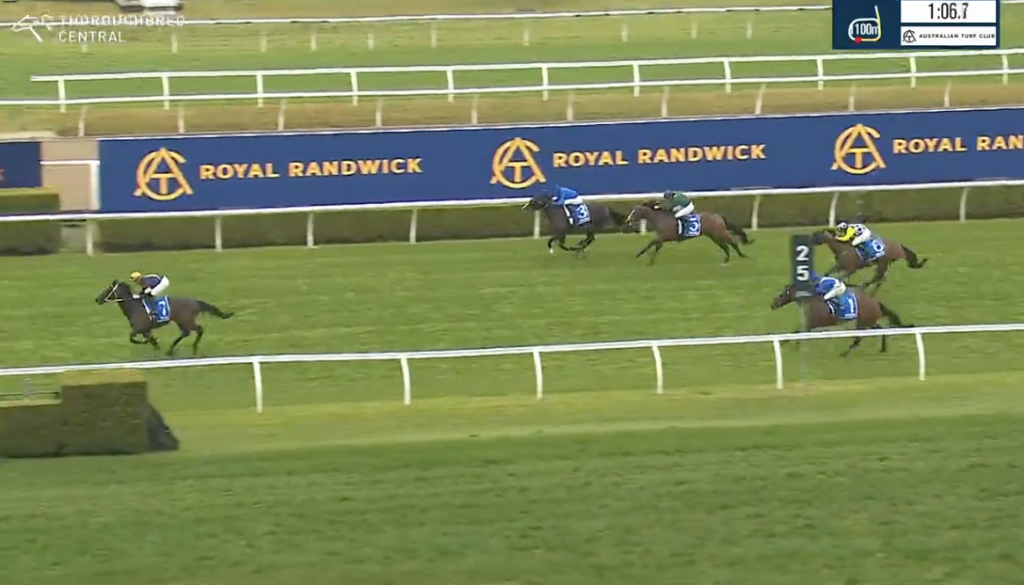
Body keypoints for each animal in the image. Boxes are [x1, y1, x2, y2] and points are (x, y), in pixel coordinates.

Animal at [95, 280, 234, 356]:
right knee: (185, 333)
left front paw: (146, 344)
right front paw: (156, 351)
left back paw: (194, 348)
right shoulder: (146, 330)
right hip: (181, 321)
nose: (97, 299)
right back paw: (170, 350)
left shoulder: (140, 329)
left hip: (186, 320)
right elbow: (152, 342)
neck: (134, 307)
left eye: (108, 289)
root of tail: (196, 301)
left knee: (199, 330)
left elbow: (132, 338)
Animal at [625, 201, 753, 265]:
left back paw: (741, 255)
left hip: (718, 233)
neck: (661, 219)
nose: (628, 220)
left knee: (732, 242)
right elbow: (655, 246)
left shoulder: (663, 237)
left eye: (634, 212)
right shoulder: (661, 238)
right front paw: (648, 260)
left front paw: (640, 256)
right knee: (725, 245)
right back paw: (727, 259)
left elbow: (651, 244)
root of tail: (717, 216)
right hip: (713, 236)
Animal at [771, 283, 911, 357]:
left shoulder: (812, 323)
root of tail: (876, 302)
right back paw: (883, 349)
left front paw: (788, 344)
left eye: (782, 294)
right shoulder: (810, 323)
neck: (812, 300)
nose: (773, 304)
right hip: (869, 321)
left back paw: (845, 353)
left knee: (859, 338)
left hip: (862, 322)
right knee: (880, 330)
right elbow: (798, 331)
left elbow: (798, 331)